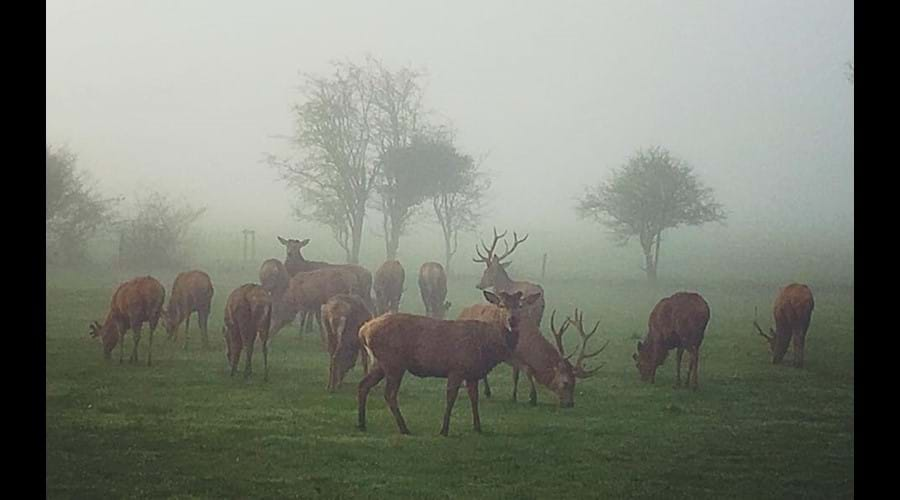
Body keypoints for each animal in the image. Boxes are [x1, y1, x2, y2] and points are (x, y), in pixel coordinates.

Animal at [358, 292, 540, 436]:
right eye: (501, 305)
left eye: (520, 305)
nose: (512, 320)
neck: (487, 348)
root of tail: (363, 330)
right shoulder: (457, 368)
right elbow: (451, 398)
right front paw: (444, 430)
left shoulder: (471, 373)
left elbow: (474, 398)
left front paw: (478, 427)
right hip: (393, 363)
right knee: (389, 394)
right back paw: (404, 428)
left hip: (380, 363)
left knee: (363, 384)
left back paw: (362, 424)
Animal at [458, 306, 604, 408]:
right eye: (565, 382)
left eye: (575, 383)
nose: (570, 404)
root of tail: (462, 312)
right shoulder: (510, 355)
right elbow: (528, 370)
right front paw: (532, 398)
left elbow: (517, 375)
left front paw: (514, 396)